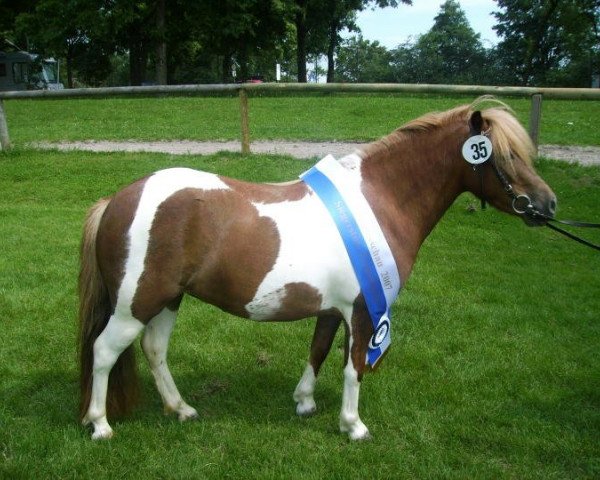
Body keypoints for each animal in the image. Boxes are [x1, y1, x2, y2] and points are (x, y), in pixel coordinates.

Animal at [79, 97, 556, 438]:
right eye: (506, 156)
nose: (547, 205)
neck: (378, 200)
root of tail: (115, 200)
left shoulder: (332, 308)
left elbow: (319, 350)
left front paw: (305, 402)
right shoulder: (364, 310)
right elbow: (354, 365)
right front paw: (353, 425)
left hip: (167, 300)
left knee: (154, 350)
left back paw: (181, 409)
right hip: (136, 305)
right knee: (104, 351)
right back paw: (100, 424)